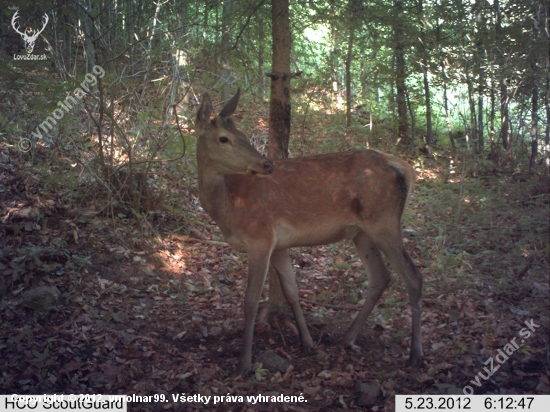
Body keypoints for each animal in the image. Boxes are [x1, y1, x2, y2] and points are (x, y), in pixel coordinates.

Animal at [196, 90, 424, 376]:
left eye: (244, 135)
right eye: (224, 138)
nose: (266, 164)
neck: (228, 208)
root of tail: (407, 169)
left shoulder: (260, 236)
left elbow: (250, 301)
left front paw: (244, 364)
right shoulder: (278, 244)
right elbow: (292, 292)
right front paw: (307, 343)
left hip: (384, 221)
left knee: (413, 278)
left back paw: (414, 356)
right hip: (362, 232)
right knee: (381, 277)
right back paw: (347, 338)